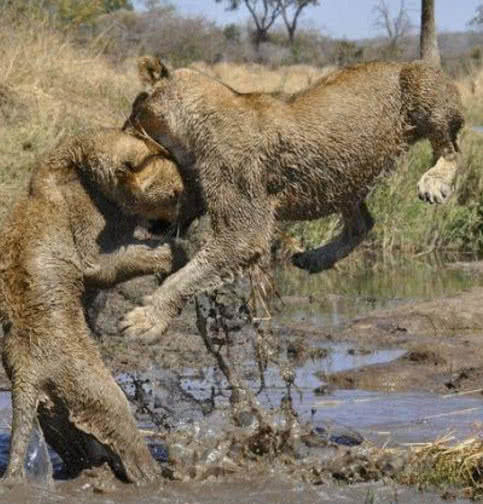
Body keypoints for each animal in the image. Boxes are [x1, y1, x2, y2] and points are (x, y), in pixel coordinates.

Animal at [0, 127, 190, 484]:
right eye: (174, 194)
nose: (175, 224)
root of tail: (26, 369)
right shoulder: (90, 234)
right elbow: (111, 263)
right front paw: (178, 253)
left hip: (56, 408)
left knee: (74, 438)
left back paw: (93, 467)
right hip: (90, 381)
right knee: (121, 424)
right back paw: (155, 474)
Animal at [118, 58, 466, 342]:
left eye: (135, 110)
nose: (123, 128)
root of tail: (413, 62)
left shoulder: (243, 226)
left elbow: (186, 276)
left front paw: (146, 320)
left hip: (421, 89)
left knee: (450, 149)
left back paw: (435, 182)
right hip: (344, 177)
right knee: (363, 224)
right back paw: (315, 258)